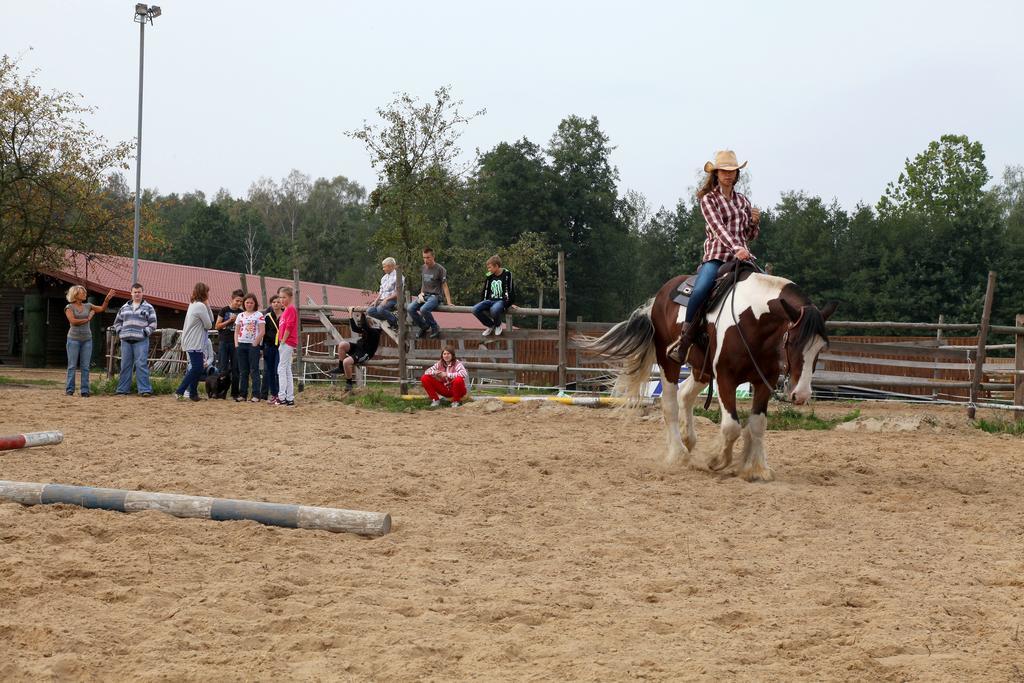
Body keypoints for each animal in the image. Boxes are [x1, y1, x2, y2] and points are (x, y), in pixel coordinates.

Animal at [589, 270, 835, 483]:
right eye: (792, 341)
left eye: (821, 347)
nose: (801, 395)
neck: (753, 320)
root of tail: (658, 298)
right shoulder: (726, 377)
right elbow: (731, 427)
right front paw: (716, 459)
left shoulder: (765, 380)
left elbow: (757, 424)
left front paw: (757, 468)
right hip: (669, 362)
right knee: (669, 404)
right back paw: (678, 454)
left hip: (702, 370)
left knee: (685, 396)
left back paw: (688, 439)